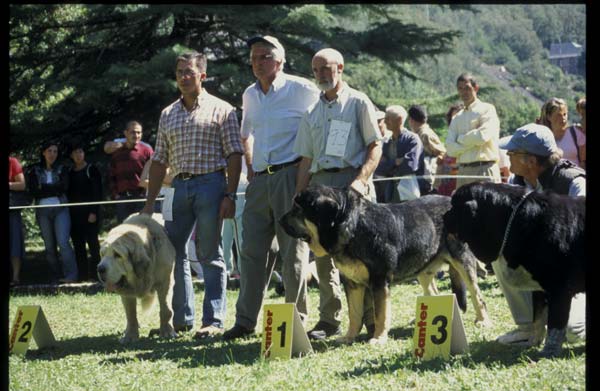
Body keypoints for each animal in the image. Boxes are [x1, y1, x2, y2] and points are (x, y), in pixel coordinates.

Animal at [278, 185, 490, 344]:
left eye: (298, 209)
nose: (280, 221)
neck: (353, 226)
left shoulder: (379, 281)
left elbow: (380, 314)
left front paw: (378, 338)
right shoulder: (352, 283)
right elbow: (354, 314)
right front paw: (348, 337)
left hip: (462, 261)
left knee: (477, 296)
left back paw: (482, 321)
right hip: (423, 270)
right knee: (435, 293)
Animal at [442, 182, 584, 356]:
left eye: (455, 207)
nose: (444, 215)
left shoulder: (559, 288)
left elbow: (555, 325)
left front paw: (548, 351)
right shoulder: (540, 289)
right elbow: (538, 320)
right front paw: (532, 342)